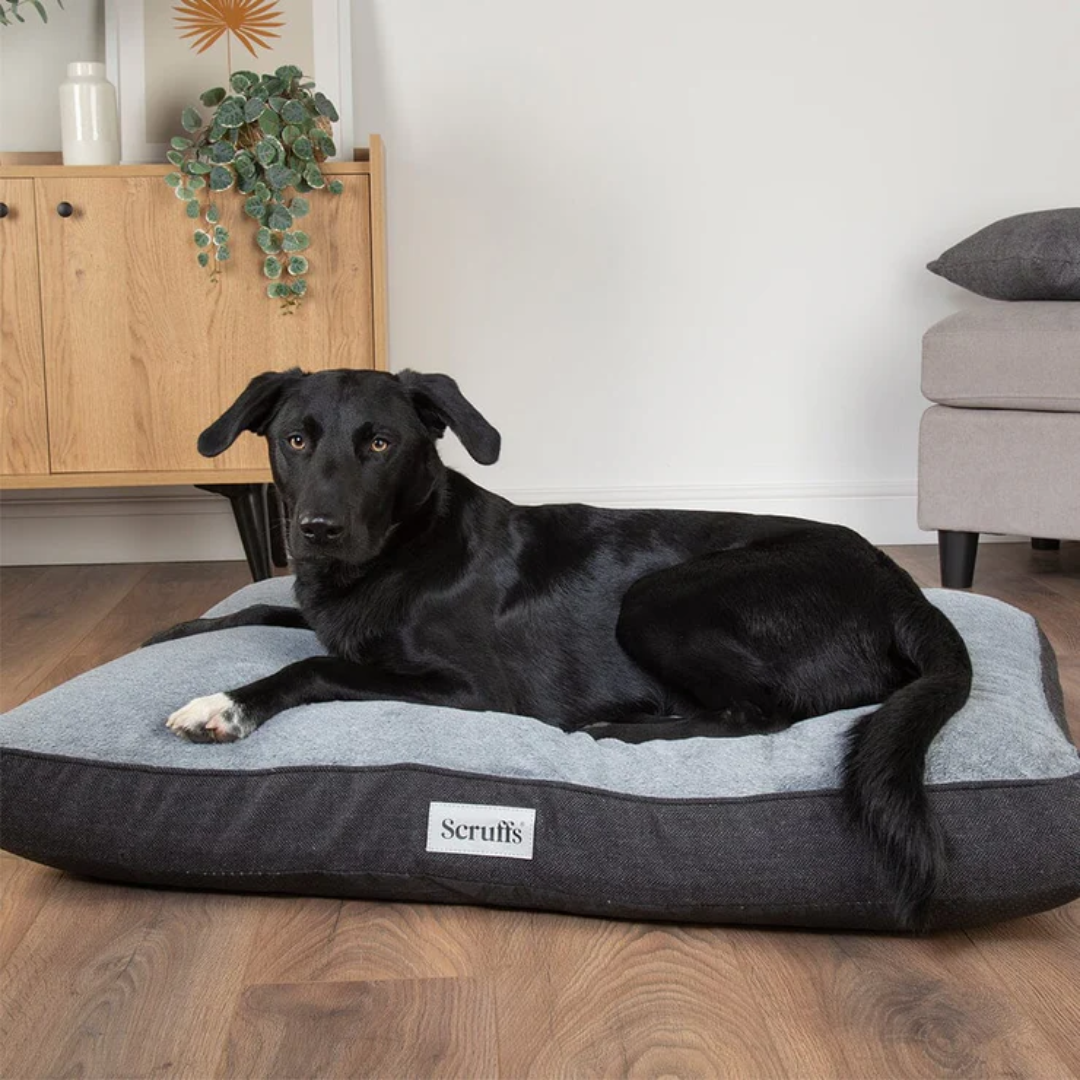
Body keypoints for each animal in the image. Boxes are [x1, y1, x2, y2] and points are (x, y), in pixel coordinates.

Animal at [150, 367, 972, 924]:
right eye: (294, 440)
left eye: (380, 444)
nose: (316, 529)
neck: (398, 551)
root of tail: (899, 581)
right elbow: (269, 608)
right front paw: (179, 629)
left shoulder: (469, 689)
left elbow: (316, 660)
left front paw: (222, 705)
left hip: (658, 599)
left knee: (761, 712)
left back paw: (621, 728)